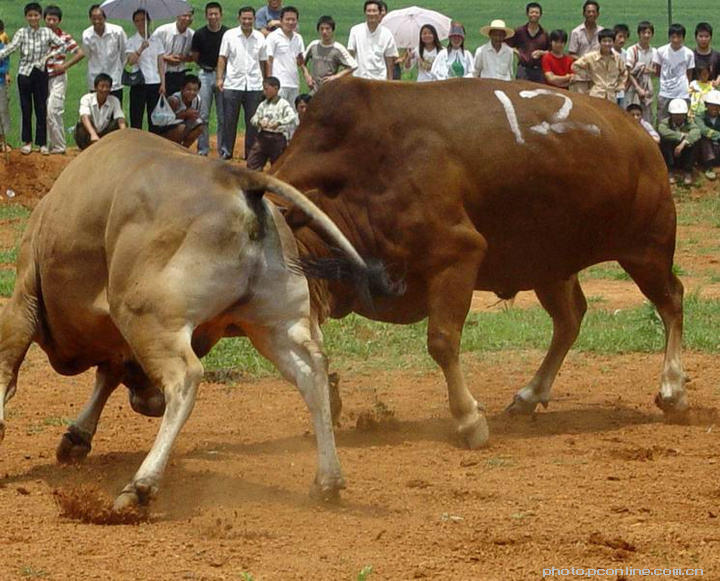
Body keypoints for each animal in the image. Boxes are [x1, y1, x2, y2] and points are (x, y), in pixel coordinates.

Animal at [0, 130, 394, 508]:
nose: (149, 404)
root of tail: (236, 177)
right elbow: (107, 376)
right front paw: (77, 436)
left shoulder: (24, 299)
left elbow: (10, 366)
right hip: (274, 324)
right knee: (312, 373)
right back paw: (328, 480)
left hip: (148, 318)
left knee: (184, 378)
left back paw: (141, 485)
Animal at [274, 77, 688, 446]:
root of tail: (640, 137)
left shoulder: (457, 254)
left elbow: (442, 341)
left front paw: (468, 420)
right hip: (548, 264)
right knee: (570, 319)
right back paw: (530, 395)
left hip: (647, 250)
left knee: (671, 301)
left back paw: (673, 389)